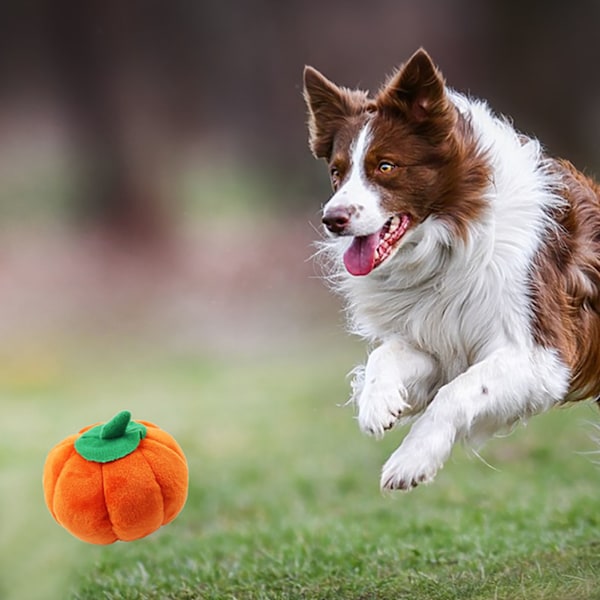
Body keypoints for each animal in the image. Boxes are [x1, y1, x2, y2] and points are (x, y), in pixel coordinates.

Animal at [302, 49, 600, 492]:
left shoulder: (542, 355)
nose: (332, 219)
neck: (452, 238)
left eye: (386, 166)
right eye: (337, 172)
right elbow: (388, 354)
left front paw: (411, 460)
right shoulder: (443, 334)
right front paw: (378, 403)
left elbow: (459, 392)